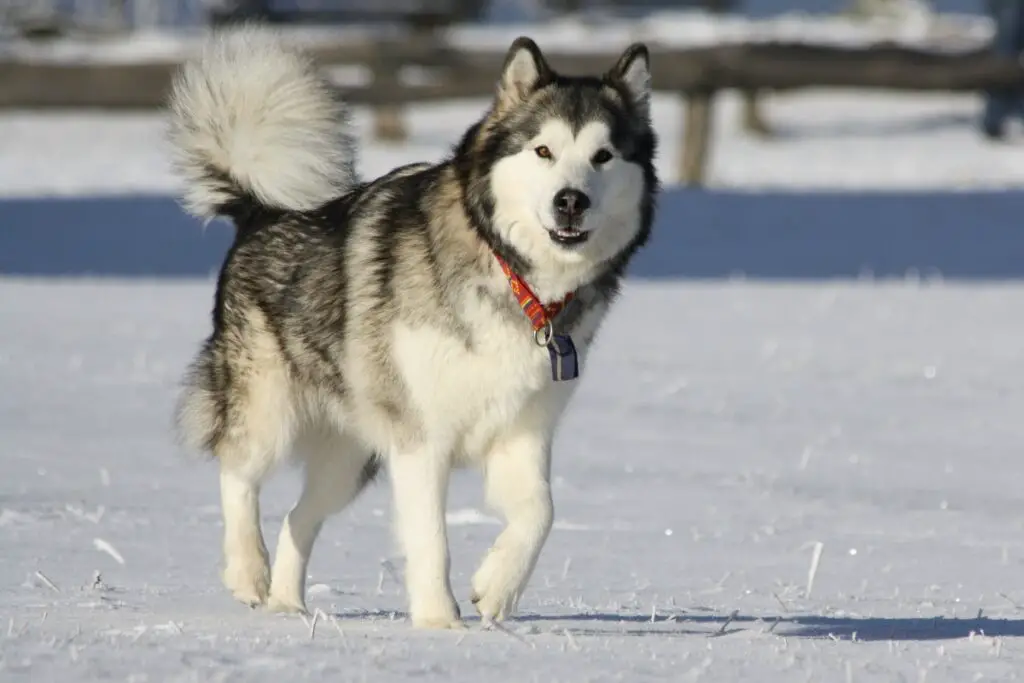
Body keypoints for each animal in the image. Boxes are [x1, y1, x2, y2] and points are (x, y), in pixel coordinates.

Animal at [166, 25, 659, 630]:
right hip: (269, 408)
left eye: (603, 156)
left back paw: (288, 605)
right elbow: (431, 539)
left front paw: (496, 590)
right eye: (543, 150)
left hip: (352, 457)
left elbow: (541, 513)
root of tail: (261, 211)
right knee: (237, 471)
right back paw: (248, 571)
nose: (571, 200)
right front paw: (439, 624)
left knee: (298, 517)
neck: (512, 276)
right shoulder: (422, 439)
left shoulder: (522, 431)